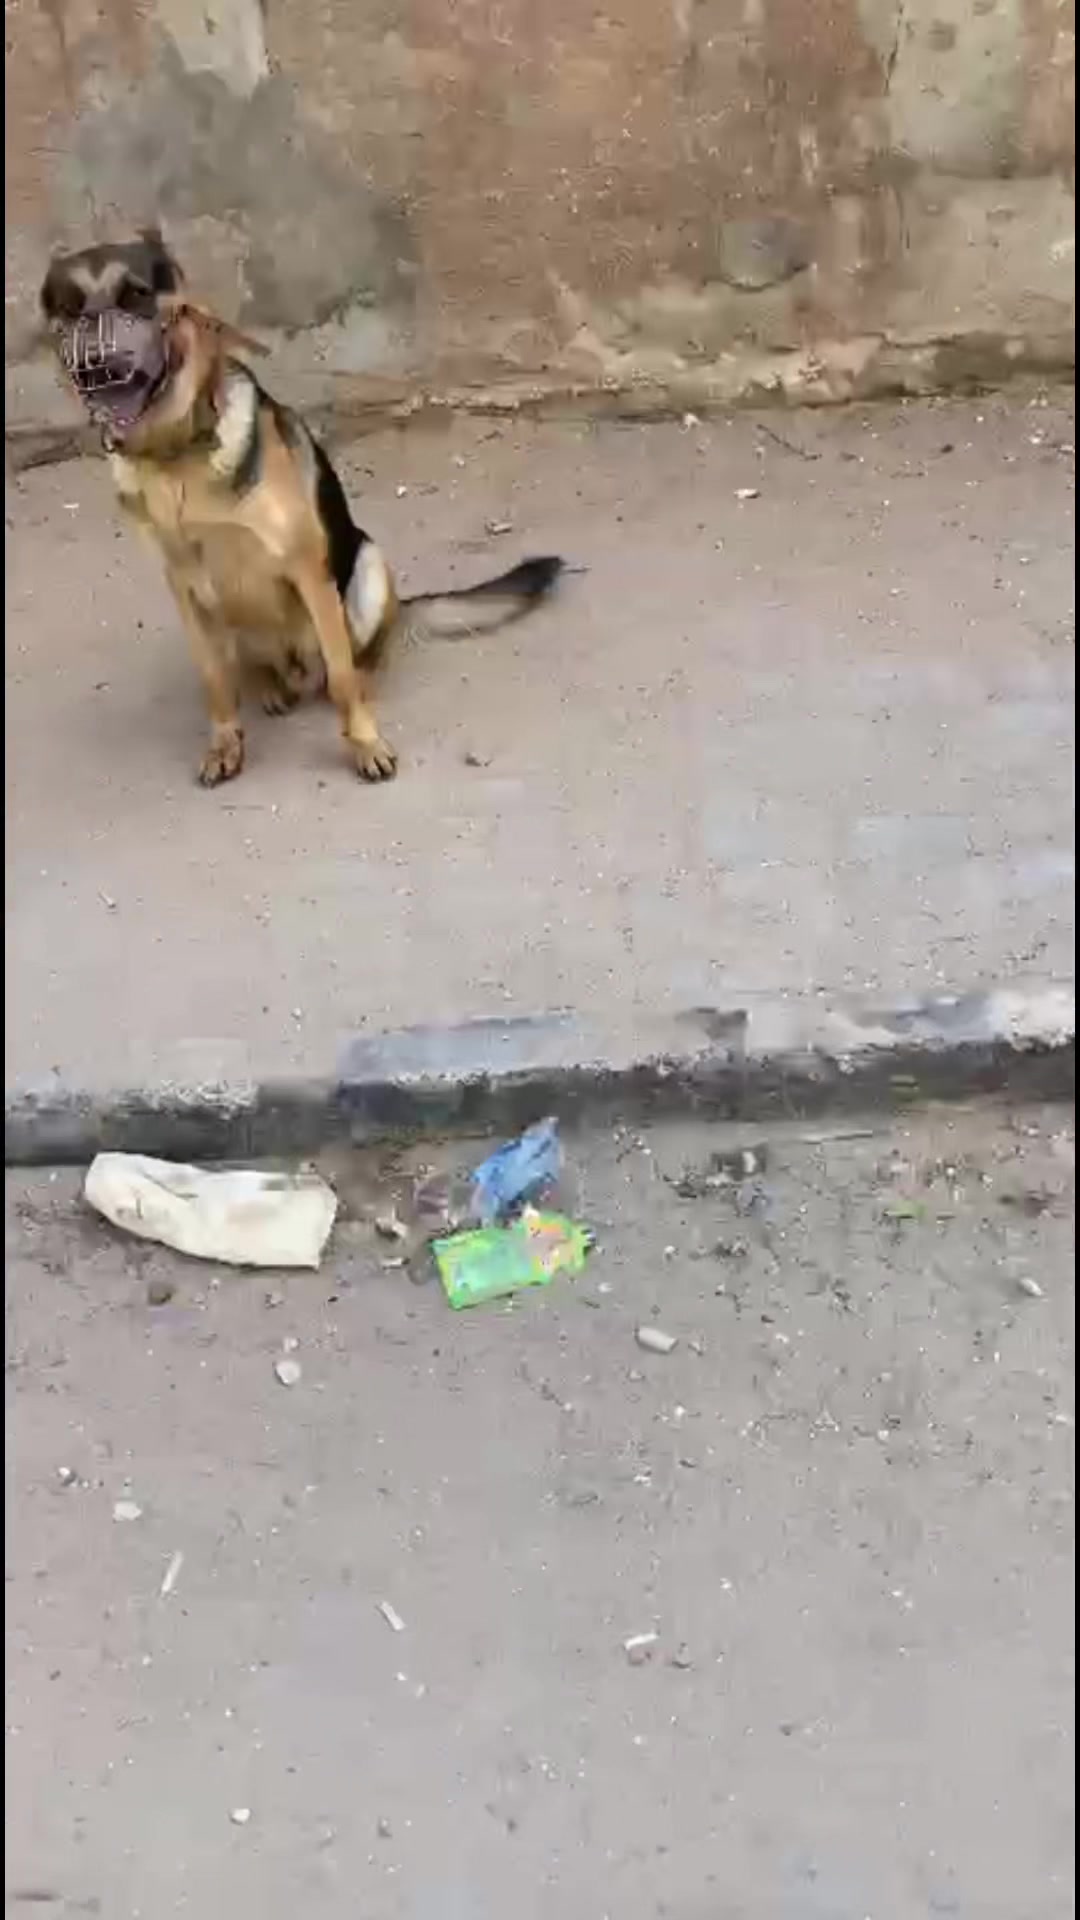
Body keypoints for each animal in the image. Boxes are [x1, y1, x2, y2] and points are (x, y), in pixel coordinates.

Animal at [39, 231, 562, 786]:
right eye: (68, 309)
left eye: (136, 294)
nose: (97, 362)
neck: (174, 455)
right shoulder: (184, 587)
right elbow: (215, 681)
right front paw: (225, 743)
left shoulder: (308, 569)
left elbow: (341, 680)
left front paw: (365, 743)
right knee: (256, 667)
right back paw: (270, 687)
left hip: (366, 567)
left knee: (355, 659)